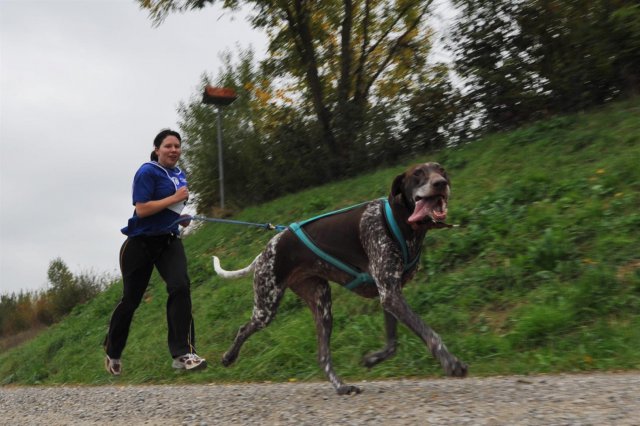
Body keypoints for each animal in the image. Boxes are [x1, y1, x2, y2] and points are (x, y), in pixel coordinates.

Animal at [212, 161, 468, 394]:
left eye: (441, 170)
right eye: (417, 174)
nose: (440, 183)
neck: (401, 223)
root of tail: (266, 249)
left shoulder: (390, 294)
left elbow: (392, 344)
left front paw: (373, 359)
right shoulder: (390, 295)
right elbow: (430, 334)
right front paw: (452, 363)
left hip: (322, 306)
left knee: (323, 356)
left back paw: (341, 386)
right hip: (267, 306)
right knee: (243, 329)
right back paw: (228, 356)